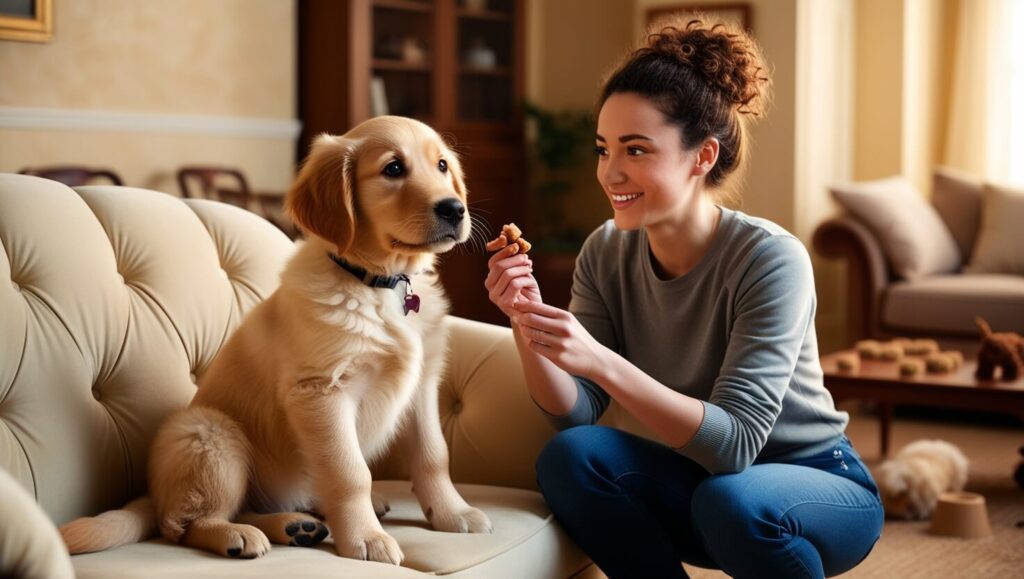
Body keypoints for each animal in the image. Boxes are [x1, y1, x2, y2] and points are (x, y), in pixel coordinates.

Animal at [59, 115, 491, 561]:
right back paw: (238, 535)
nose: (454, 208)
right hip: (210, 433)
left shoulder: (421, 384)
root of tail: (155, 493)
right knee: (184, 523)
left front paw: (451, 512)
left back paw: (297, 525)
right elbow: (350, 472)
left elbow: (434, 456)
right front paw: (367, 538)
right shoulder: (319, 391)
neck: (377, 283)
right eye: (393, 169)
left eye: (441, 165)